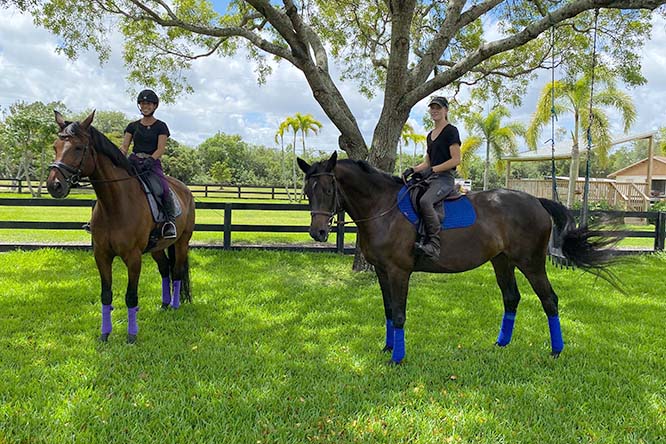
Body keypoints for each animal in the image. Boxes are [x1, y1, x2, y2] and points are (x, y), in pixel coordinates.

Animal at [47, 111, 195, 343]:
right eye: (55, 146)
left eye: (78, 148)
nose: (54, 185)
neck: (115, 205)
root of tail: (186, 190)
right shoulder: (102, 256)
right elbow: (106, 295)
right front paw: (105, 334)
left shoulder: (133, 258)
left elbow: (131, 296)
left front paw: (131, 336)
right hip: (158, 247)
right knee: (164, 269)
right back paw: (164, 304)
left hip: (182, 242)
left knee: (178, 272)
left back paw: (174, 306)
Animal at [297, 152, 618, 364]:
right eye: (306, 191)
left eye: (328, 188)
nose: (318, 232)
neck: (383, 208)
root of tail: (536, 201)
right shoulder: (381, 271)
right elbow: (388, 311)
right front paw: (388, 348)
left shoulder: (399, 271)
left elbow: (399, 314)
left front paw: (397, 358)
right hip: (502, 261)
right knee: (511, 298)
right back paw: (501, 344)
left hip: (531, 263)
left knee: (549, 300)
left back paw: (556, 350)